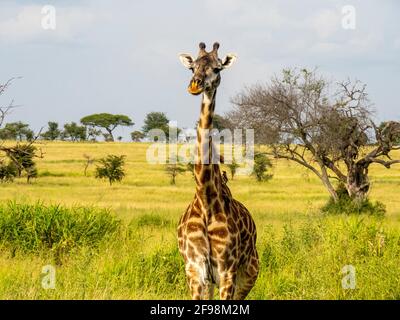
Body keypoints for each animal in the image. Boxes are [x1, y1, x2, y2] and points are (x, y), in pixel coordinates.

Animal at [176, 42, 258, 300]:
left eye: (217, 68)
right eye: (192, 67)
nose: (195, 84)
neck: (205, 200)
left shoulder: (227, 269)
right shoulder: (194, 269)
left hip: (249, 272)